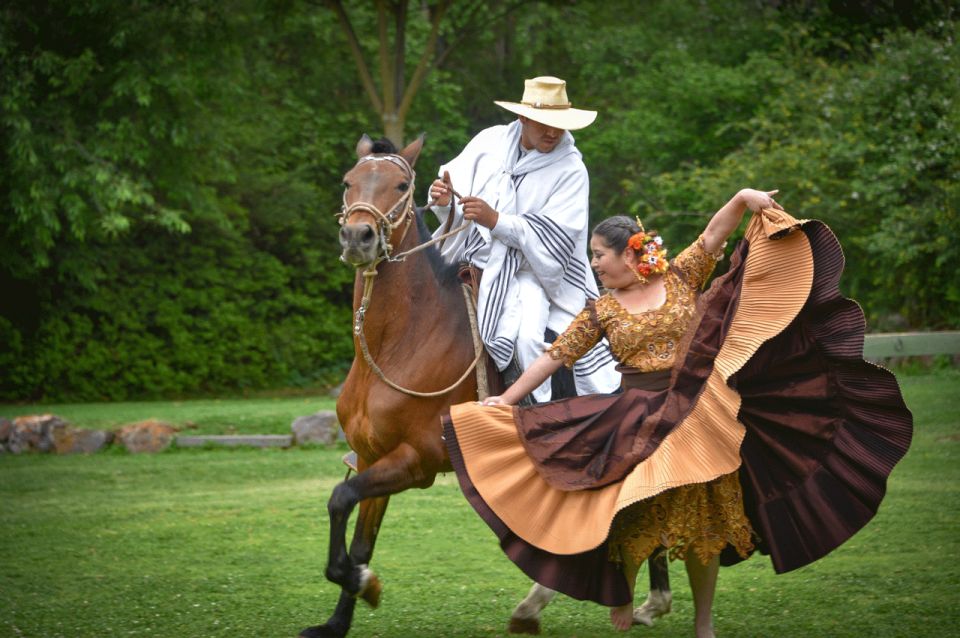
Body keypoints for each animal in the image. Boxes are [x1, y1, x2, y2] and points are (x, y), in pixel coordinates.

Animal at [296, 135, 672, 638]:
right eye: (348, 181)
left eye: (400, 185)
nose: (359, 237)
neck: (400, 342)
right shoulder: (373, 457)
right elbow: (356, 536)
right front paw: (339, 618)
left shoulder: (416, 460)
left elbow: (339, 501)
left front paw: (364, 584)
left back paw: (645, 600)